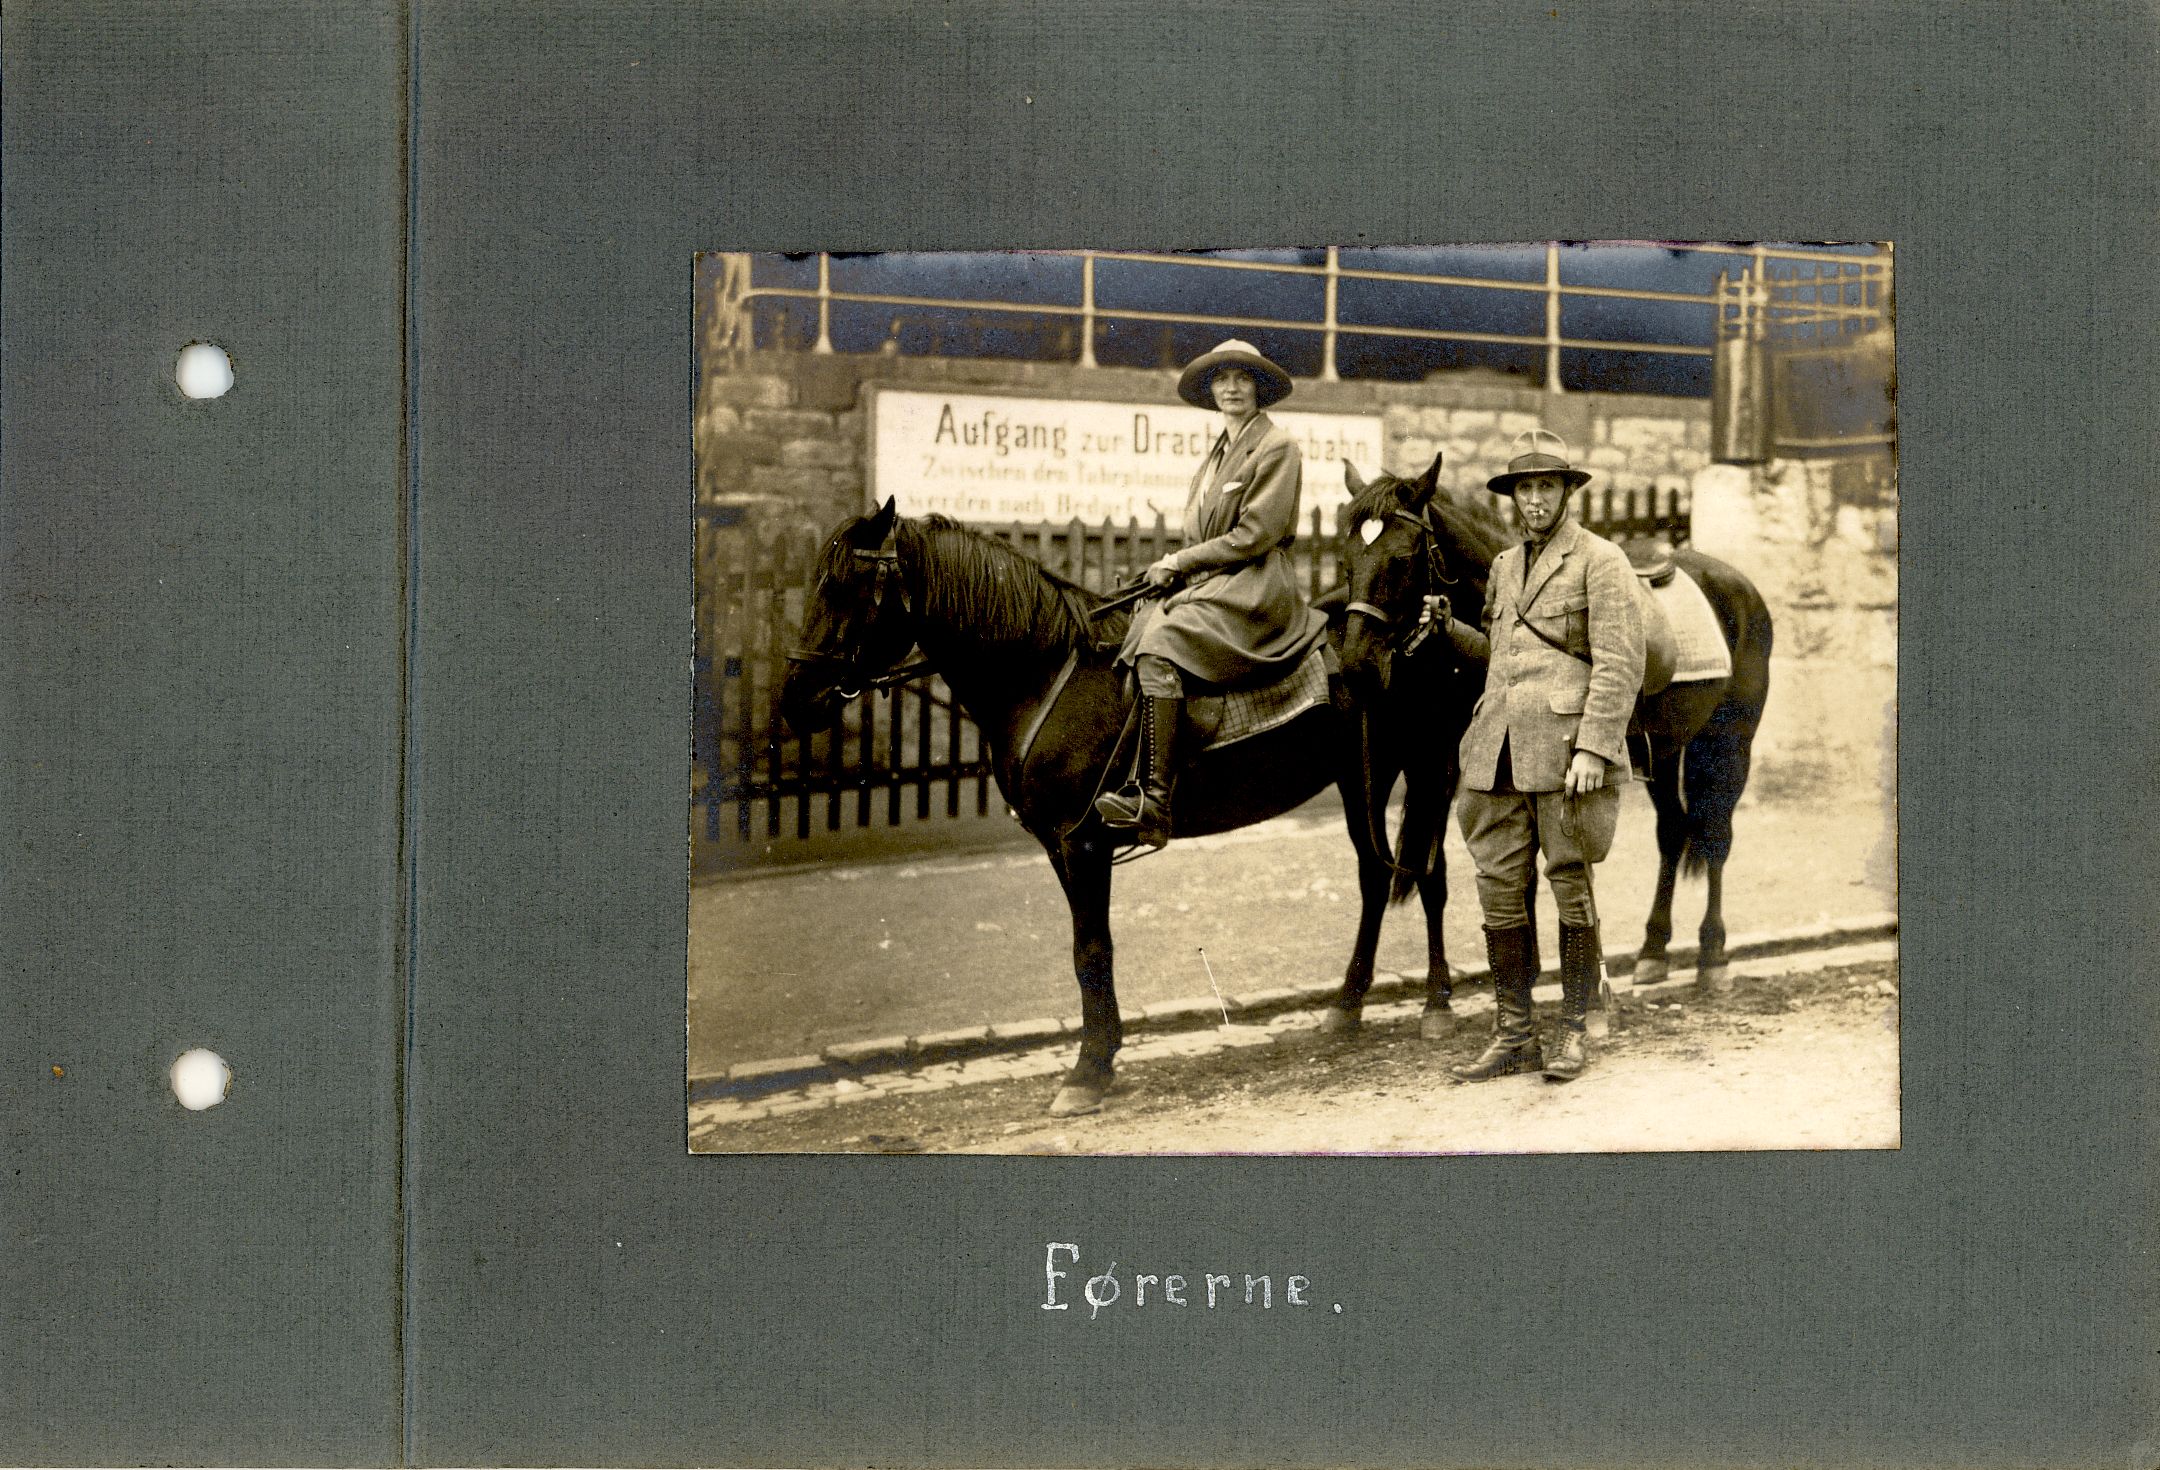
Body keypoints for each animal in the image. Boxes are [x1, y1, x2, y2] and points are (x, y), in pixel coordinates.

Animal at [775, 496, 1452, 1117]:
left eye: (844, 588)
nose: (794, 702)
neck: (1044, 672)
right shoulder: (1060, 844)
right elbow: (1088, 950)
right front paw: (1103, 1055)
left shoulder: (1082, 843)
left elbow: (1091, 950)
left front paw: (1087, 1069)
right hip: (1361, 782)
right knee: (1378, 876)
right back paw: (1347, 1008)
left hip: (1418, 772)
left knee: (1429, 877)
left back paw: (1437, 1005)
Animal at [1335, 454, 1774, 989]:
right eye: (1347, 559)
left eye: (1400, 559)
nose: (1356, 665)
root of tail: (1739, 585)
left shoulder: (1447, 769)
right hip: (1667, 749)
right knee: (1672, 832)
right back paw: (1653, 950)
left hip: (1730, 744)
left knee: (1716, 836)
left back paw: (1712, 954)